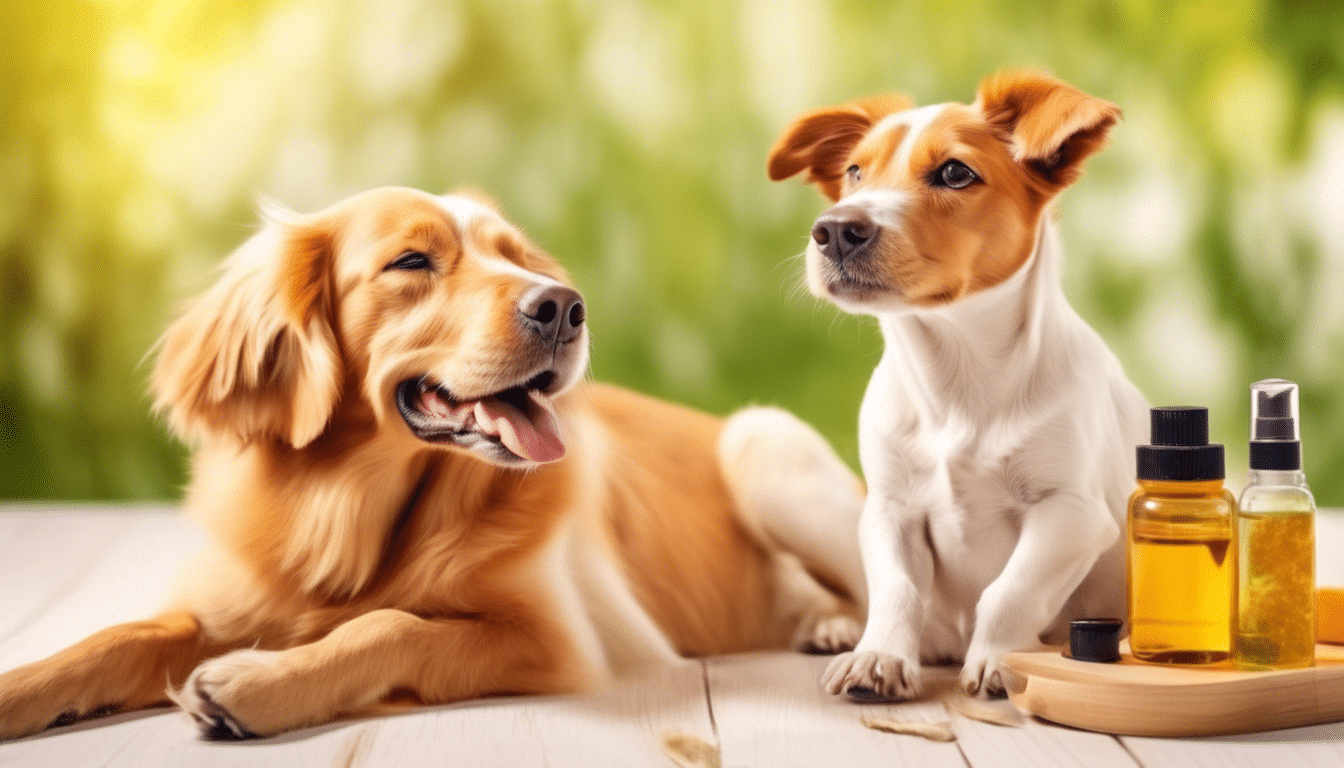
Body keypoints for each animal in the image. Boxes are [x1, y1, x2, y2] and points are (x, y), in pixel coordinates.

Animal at [768, 71, 1145, 704]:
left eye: (954, 173)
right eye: (855, 172)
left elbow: (1010, 591)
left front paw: (999, 660)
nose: (834, 230)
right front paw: (878, 656)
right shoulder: (889, 509)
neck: (957, 378)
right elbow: (896, 590)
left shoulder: (1072, 513)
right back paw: (838, 625)